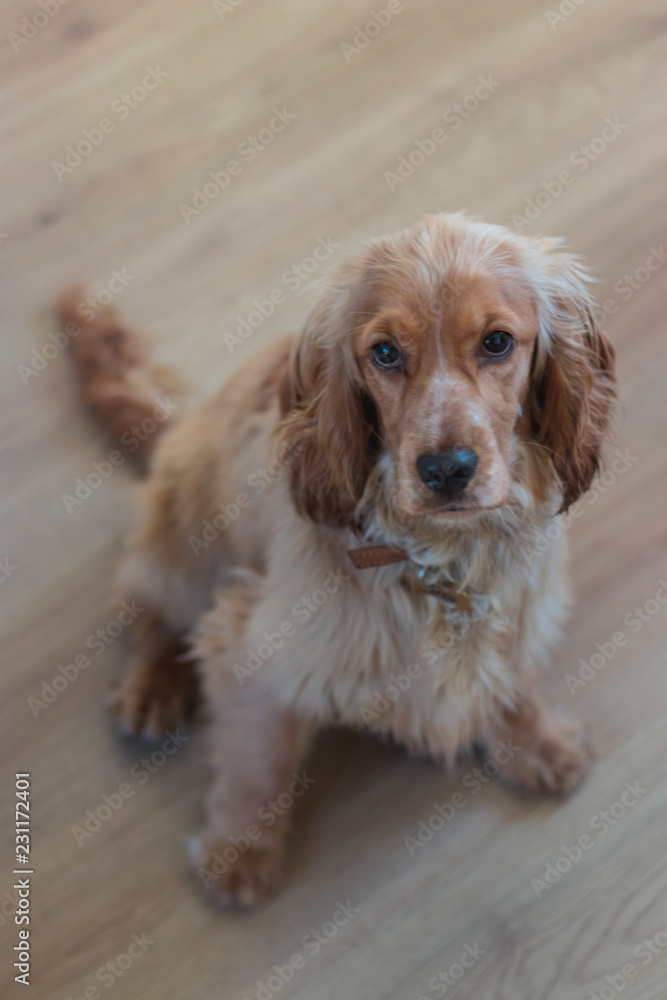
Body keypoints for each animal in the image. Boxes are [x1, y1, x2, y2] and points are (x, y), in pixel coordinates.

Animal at [60, 211, 620, 908]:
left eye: (497, 342)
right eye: (384, 352)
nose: (446, 471)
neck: (439, 560)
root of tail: (178, 427)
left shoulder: (517, 605)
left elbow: (512, 678)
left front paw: (535, 743)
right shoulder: (253, 644)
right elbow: (257, 758)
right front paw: (239, 851)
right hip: (187, 537)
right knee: (149, 607)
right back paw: (151, 685)